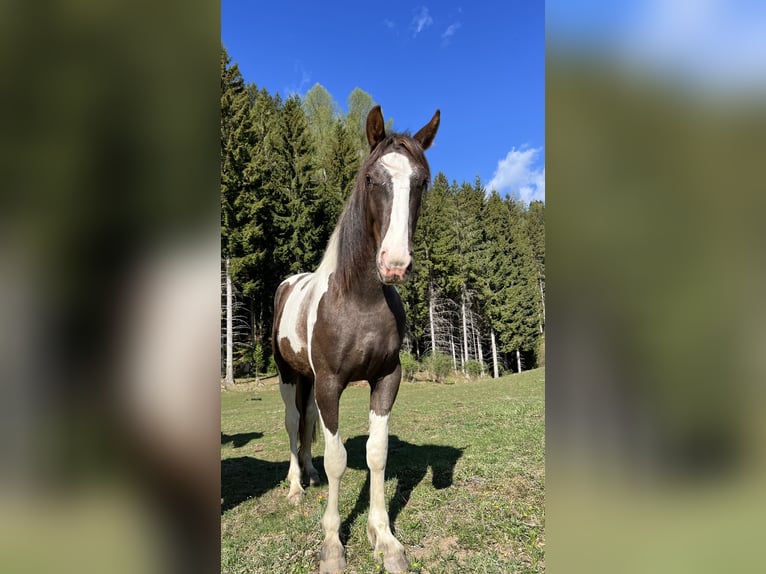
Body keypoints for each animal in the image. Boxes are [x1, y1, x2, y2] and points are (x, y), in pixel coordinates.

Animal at [272, 105, 440, 573]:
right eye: (370, 178)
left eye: (422, 181)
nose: (395, 264)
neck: (359, 300)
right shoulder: (331, 383)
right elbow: (338, 459)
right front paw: (332, 544)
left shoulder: (386, 379)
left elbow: (376, 454)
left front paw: (385, 539)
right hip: (290, 376)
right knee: (293, 423)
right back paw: (295, 485)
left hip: (310, 382)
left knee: (307, 422)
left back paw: (308, 475)